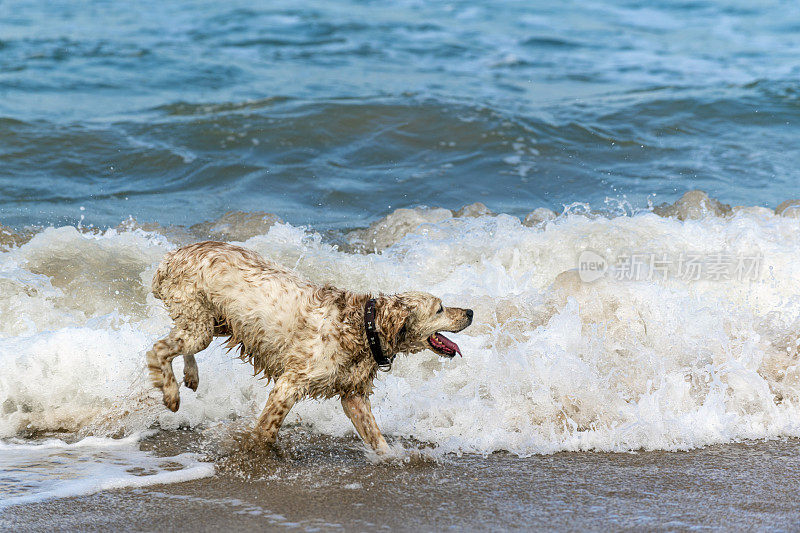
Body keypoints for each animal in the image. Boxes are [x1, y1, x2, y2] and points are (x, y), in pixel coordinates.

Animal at [145, 241, 472, 454]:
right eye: (440, 308)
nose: (470, 312)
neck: (363, 328)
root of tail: (169, 258)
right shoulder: (290, 383)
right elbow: (266, 430)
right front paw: (258, 452)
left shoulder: (353, 396)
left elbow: (377, 439)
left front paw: (394, 459)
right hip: (199, 323)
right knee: (158, 349)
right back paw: (172, 394)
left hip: (212, 322)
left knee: (178, 343)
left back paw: (191, 376)